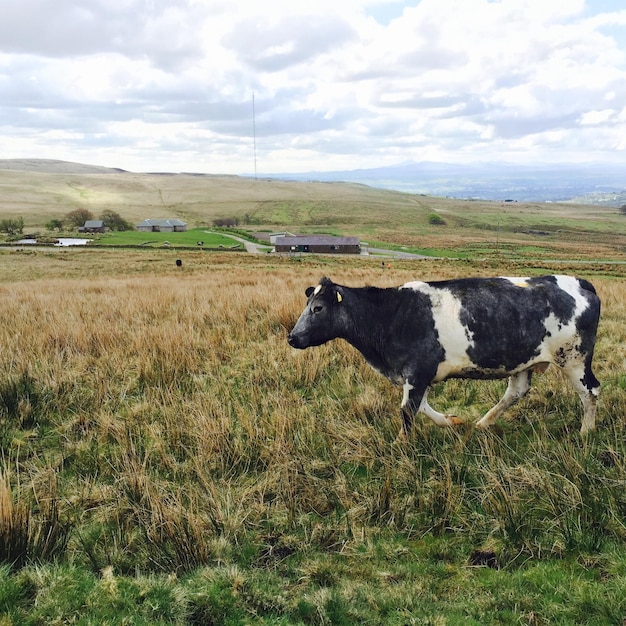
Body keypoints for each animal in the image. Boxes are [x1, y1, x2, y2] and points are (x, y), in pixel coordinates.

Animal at [288, 272, 600, 434]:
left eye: (318, 308)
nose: (292, 337)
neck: (390, 315)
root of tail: (580, 282)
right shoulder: (418, 373)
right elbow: (420, 405)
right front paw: (451, 421)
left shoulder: (417, 370)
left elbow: (408, 409)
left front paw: (401, 444)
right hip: (523, 360)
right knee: (516, 392)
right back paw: (483, 423)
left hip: (574, 359)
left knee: (591, 391)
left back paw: (586, 431)